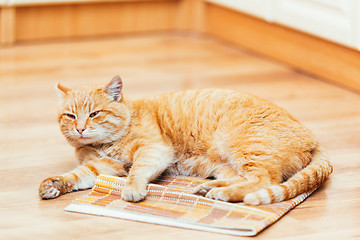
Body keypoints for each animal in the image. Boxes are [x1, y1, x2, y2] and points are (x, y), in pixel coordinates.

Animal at [38, 75, 332, 204]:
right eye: (70, 115)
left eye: (94, 114)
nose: (80, 129)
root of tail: (313, 136)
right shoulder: (102, 167)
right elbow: (76, 176)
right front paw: (54, 184)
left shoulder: (153, 150)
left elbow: (136, 172)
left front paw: (132, 189)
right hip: (225, 165)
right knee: (245, 179)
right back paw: (208, 189)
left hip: (243, 146)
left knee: (265, 180)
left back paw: (222, 193)